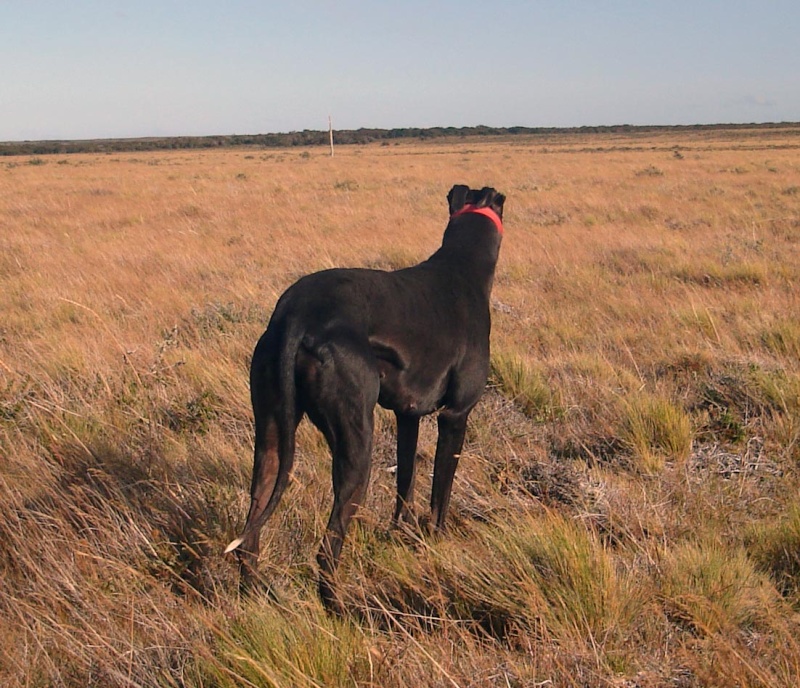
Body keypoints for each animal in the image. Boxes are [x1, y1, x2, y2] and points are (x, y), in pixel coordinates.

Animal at [228, 184, 506, 612]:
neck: (462, 266)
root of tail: (296, 315)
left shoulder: (408, 415)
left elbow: (406, 481)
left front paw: (400, 536)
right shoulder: (456, 415)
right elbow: (440, 493)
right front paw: (438, 543)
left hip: (271, 436)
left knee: (251, 532)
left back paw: (255, 597)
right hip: (356, 445)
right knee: (327, 548)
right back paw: (339, 609)